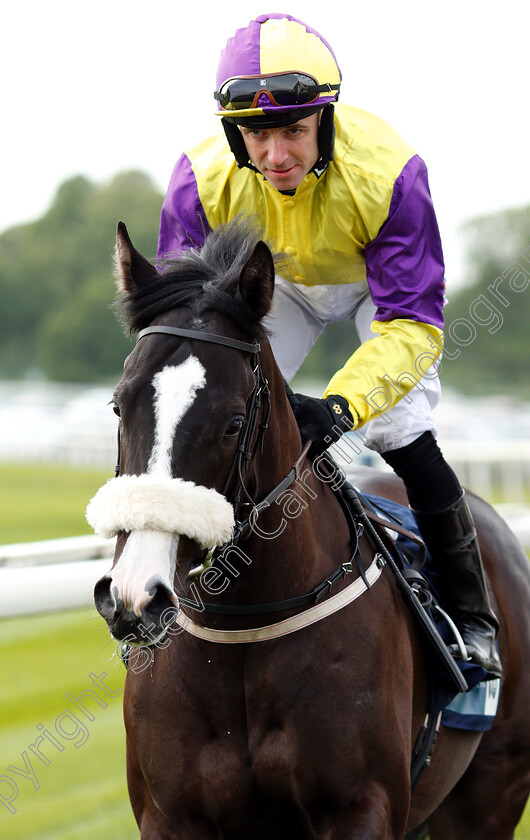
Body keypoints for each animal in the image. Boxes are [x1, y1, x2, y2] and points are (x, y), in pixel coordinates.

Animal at [89, 220, 528, 836]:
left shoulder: (362, 807)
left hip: (489, 795)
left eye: (233, 423)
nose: (135, 596)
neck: (245, 629)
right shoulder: (169, 815)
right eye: (117, 405)